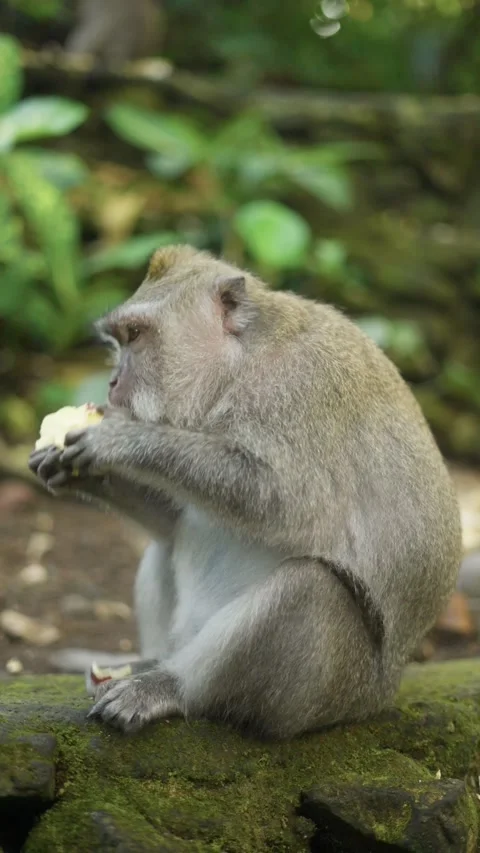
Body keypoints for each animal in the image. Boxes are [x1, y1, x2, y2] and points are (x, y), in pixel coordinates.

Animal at [29, 245, 462, 738]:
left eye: (135, 335)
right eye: (118, 341)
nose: (112, 384)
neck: (242, 366)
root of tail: (381, 697)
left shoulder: (298, 390)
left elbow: (289, 504)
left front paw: (122, 440)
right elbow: (177, 521)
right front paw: (77, 473)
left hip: (331, 695)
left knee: (311, 587)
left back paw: (170, 687)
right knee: (166, 545)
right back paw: (150, 662)